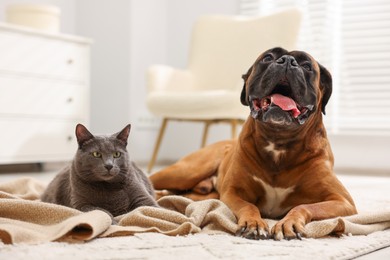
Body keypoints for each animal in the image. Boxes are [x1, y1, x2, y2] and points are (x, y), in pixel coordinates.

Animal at [149, 46, 356, 240]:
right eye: (268, 57)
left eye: (307, 66)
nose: (287, 61)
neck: (279, 141)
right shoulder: (232, 193)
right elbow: (248, 206)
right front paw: (254, 223)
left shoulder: (342, 201)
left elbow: (304, 206)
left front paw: (288, 223)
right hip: (186, 171)